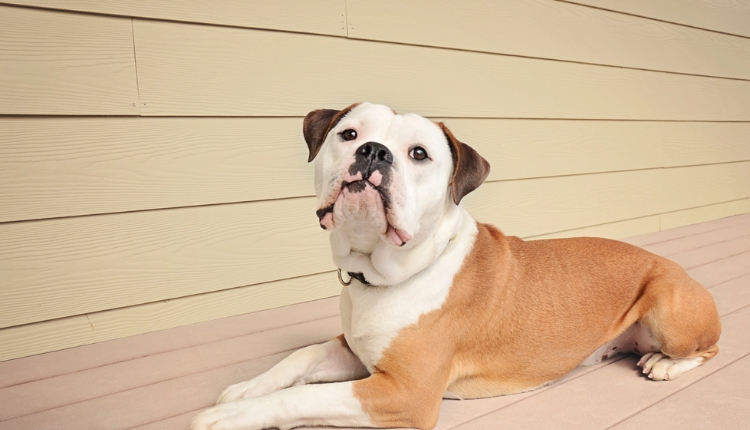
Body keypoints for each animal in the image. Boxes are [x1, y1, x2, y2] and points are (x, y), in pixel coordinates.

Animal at [192, 103, 724, 430]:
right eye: (348, 134)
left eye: (419, 154)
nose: (373, 151)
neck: (385, 274)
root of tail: (680, 269)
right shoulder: (353, 350)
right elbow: (299, 358)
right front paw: (244, 390)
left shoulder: (403, 392)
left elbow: (304, 398)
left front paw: (232, 418)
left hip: (670, 308)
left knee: (707, 349)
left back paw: (663, 364)